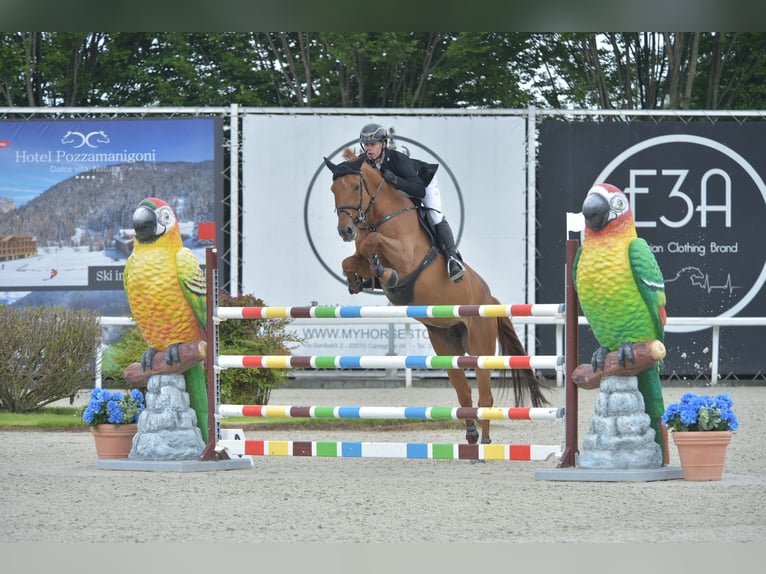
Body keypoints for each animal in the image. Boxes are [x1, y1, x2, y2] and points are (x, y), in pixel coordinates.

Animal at [324, 152, 552, 446]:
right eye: (333, 190)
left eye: (355, 186)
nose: (346, 230)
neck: (381, 215)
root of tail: (489, 298)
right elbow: (352, 260)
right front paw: (358, 280)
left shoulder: (405, 256)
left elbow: (372, 242)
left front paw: (388, 274)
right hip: (445, 345)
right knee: (464, 393)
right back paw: (470, 435)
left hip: (480, 346)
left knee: (485, 396)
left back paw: (485, 441)